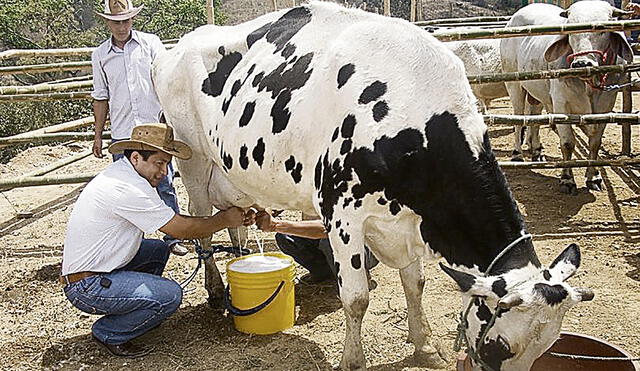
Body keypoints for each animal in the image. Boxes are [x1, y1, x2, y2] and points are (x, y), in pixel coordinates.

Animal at [152, 3, 592, 371]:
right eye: (503, 347)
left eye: (547, 347)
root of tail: (180, 45)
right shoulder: (342, 212)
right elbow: (357, 297)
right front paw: (353, 360)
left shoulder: (410, 219)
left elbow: (415, 285)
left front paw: (424, 346)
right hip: (193, 161)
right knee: (202, 224)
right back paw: (215, 290)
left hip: (233, 173)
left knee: (235, 224)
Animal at [502, 1, 632, 195]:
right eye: (570, 30)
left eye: (602, 30)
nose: (581, 63)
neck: (588, 85)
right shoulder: (561, 106)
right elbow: (568, 143)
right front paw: (567, 179)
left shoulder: (606, 106)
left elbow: (595, 144)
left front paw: (593, 177)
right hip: (514, 86)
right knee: (519, 120)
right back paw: (517, 154)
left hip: (537, 93)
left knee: (534, 118)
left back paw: (537, 151)